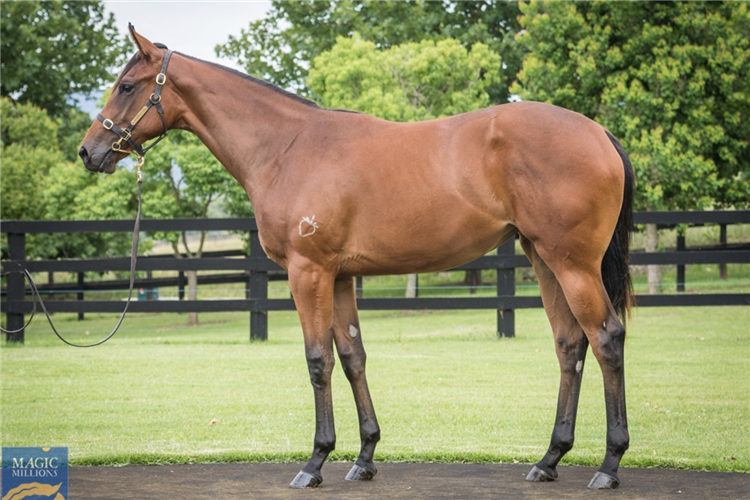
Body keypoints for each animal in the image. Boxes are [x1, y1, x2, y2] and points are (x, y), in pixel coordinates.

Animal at [81, 25, 636, 490]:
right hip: (543, 259)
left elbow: (317, 360)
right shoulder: (341, 276)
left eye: (127, 86)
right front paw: (365, 457)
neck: (286, 148)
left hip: (571, 264)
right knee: (569, 345)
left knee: (605, 338)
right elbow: (352, 357)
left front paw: (315, 461)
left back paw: (609, 465)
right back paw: (549, 459)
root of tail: (599, 133)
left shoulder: (308, 272)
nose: (90, 151)